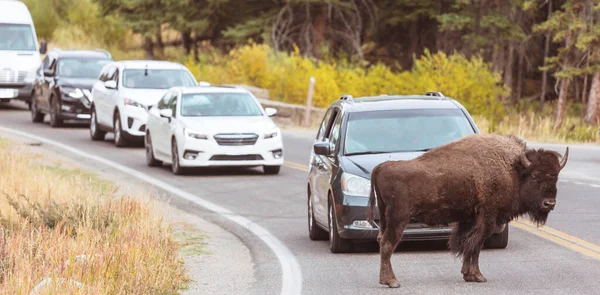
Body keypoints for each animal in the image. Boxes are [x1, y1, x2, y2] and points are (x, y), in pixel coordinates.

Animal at [366, 134, 568, 290]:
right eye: (534, 176)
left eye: (556, 176)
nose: (549, 203)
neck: (512, 168)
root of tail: (382, 167)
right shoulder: (488, 218)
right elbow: (475, 246)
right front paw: (478, 276)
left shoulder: (469, 219)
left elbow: (467, 245)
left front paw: (467, 274)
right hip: (398, 218)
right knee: (387, 244)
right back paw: (392, 281)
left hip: (385, 217)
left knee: (381, 240)